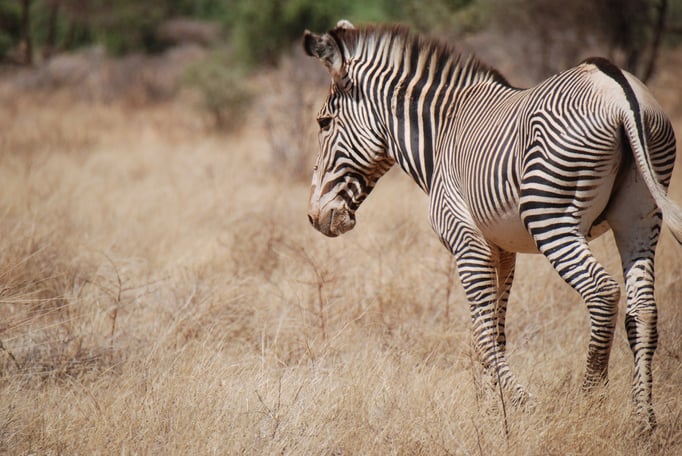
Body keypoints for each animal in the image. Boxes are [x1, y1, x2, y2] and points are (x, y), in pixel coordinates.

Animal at [303, 20, 681, 430]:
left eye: (324, 122)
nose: (314, 217)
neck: (442, 134)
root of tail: (617, 89)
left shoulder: (466, 241)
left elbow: (482, 333)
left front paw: (518, 402)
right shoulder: (501, 249)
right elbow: (494, 332)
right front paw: (490, 409)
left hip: (551, 216)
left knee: (602, 292)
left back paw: (590, 402)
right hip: (640, 215)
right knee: (644, 309)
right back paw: (642, 419)